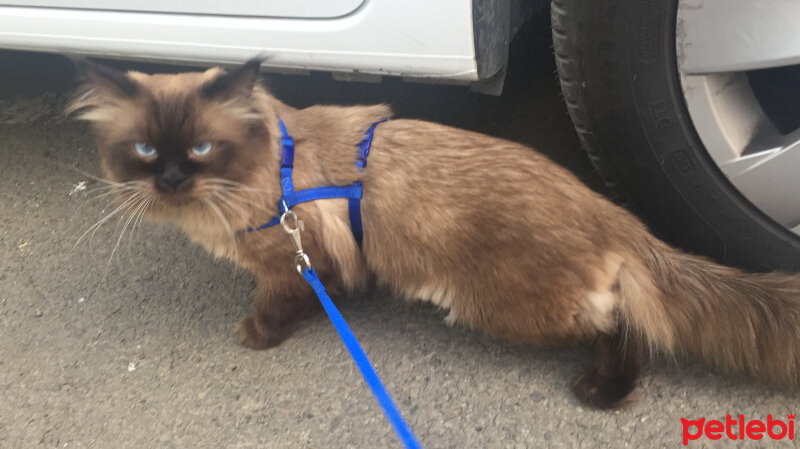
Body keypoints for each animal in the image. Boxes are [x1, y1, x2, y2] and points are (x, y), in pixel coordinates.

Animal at [67, 58, 800, 410]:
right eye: (142, 150)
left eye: (199, 150)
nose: (168, 180)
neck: (269, 165)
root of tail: (617, 216)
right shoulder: (326, 262)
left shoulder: (293, 260)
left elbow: (280, 304)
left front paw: (257, 334)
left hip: (502, 309)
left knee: (627, 324)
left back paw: (600, 393)